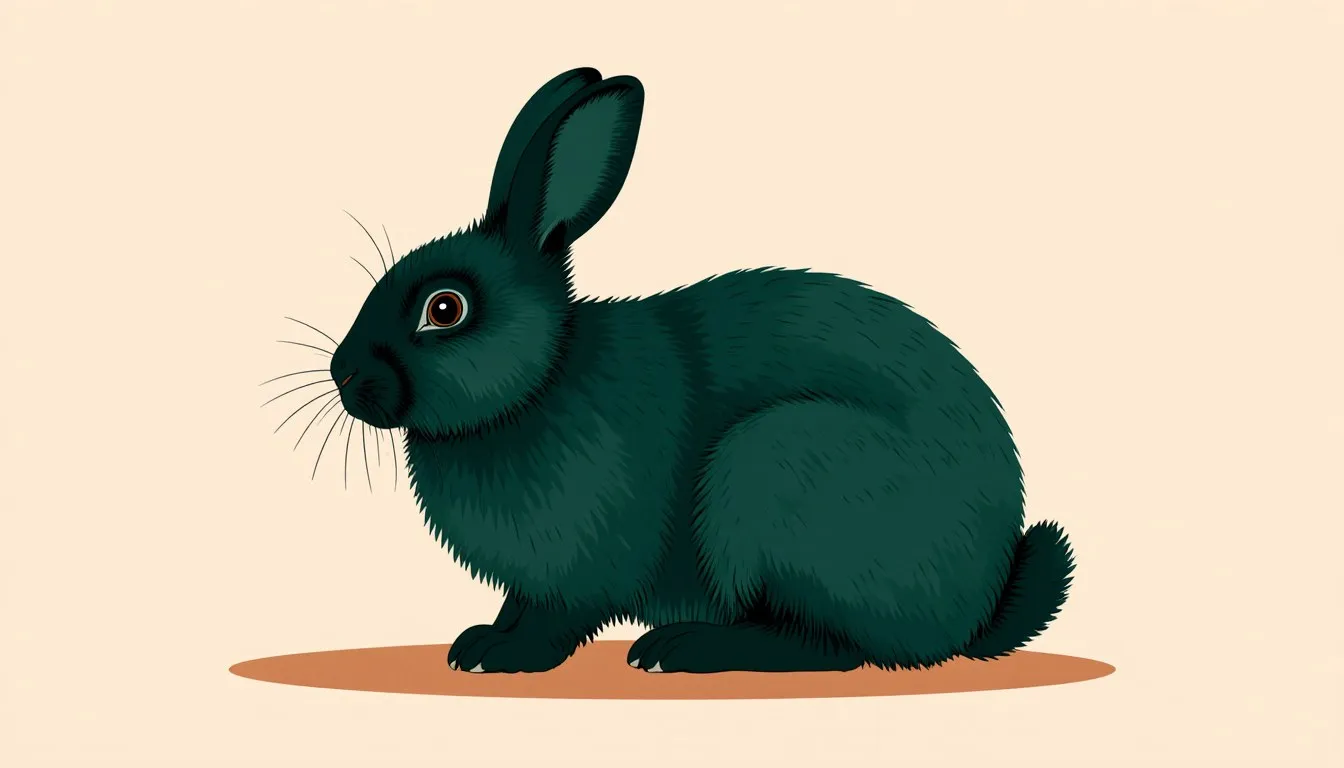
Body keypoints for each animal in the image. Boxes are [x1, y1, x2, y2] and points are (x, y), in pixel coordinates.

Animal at [326, 67, 1075, 674]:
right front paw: (480, 641)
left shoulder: (589, 557)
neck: (541, 381)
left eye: (444, 308)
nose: (344, 375)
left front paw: (506, 656)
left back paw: (681, 648)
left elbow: (561, 614)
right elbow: (519, 604)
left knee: (831, 648)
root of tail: (974, 611)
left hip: (777, 463)